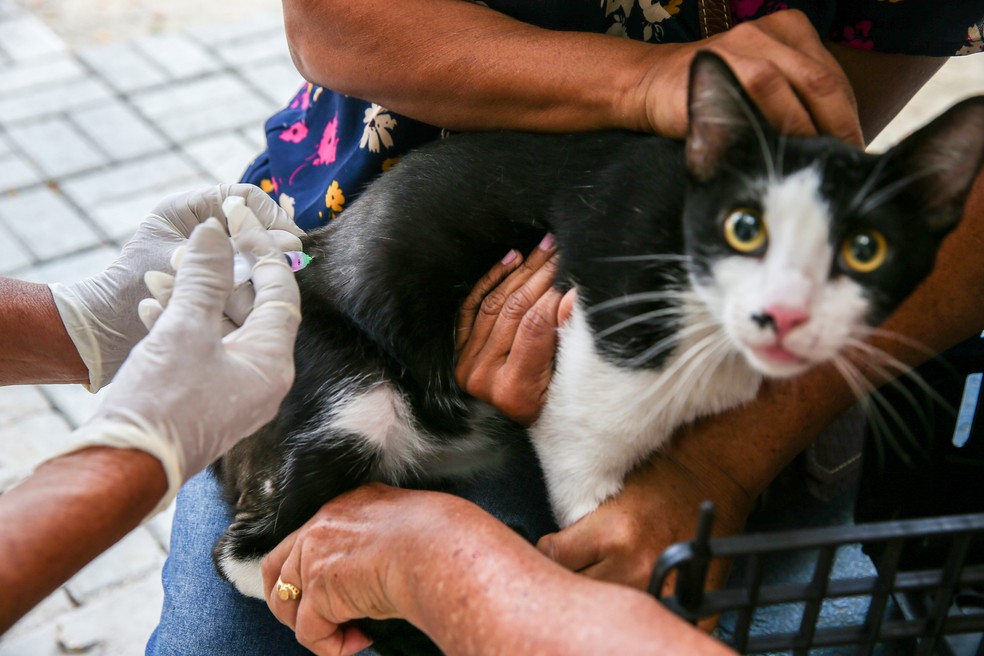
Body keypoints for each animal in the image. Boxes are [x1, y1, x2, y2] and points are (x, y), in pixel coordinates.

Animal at [209, 51, 984, 596]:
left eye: (865, 250)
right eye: (744, 228)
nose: (784, 313)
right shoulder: (584, 404)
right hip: (348, 397)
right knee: (248, 554)